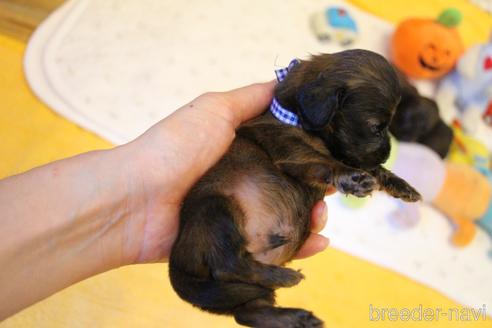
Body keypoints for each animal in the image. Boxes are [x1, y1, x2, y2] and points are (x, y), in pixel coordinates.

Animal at [168, 49, 418, 328]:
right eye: (376, 127)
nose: (386, 155)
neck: (296, 116)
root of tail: (177, 269)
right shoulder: (292, 150)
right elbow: (324, 161)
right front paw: (352, 179)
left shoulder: (344, 152)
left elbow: (370, 169)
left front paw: (402, 186)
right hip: (215, 209)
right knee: (227, 264)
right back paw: (284, 277)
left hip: (241, 292)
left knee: (249, 312)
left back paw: (296, 317)